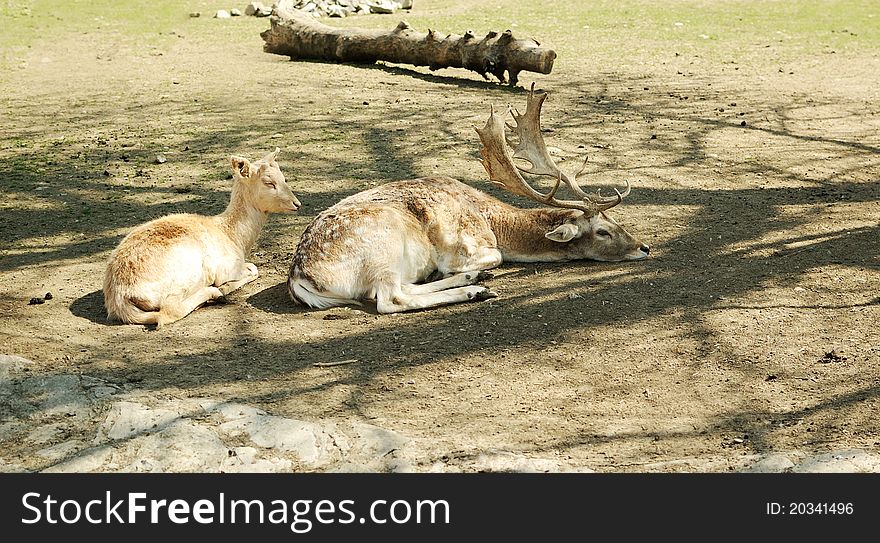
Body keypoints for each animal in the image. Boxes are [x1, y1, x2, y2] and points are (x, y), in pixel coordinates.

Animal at [104, 148, 300, 328]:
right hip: (186, 275)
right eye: (268, 182)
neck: (235, 238)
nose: (297, 203)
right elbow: (253, 268)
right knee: (168, 312)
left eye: (284, 178)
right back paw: (214, 294)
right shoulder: (227, 268)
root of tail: (120, 298)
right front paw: (223, 287)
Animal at [288, 86, 648, 314]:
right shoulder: (463, 244)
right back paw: (473, 289)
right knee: (390, 299)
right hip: (383, 246)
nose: (643, 247)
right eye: (602, 231)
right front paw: (463, 271)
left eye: (616, 221)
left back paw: (474, 282)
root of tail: (301, 279)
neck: (493, 220)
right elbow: (495, 257)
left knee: (400, 289)